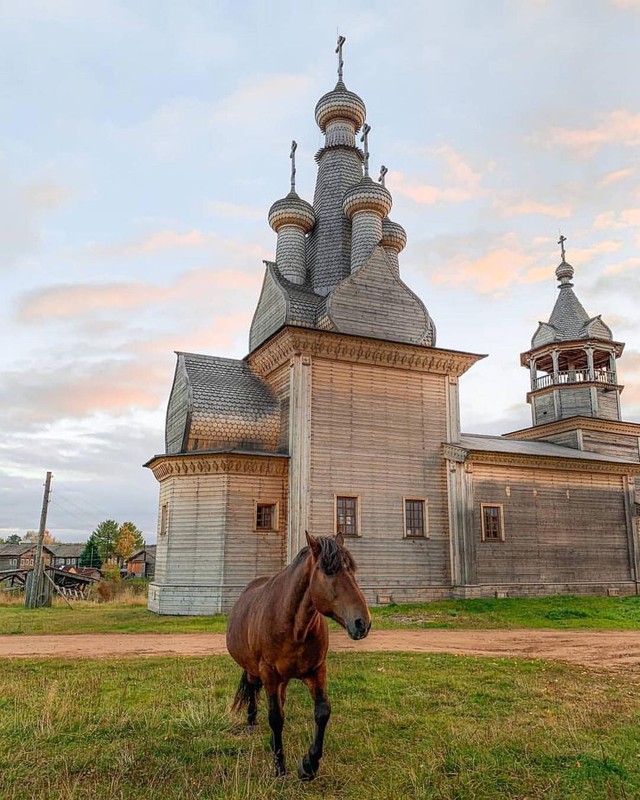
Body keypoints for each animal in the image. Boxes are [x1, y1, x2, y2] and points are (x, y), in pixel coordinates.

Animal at [228, 532, 372, 780]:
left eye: (352, 570)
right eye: (329, 572)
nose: (363, 622)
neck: (294, 626)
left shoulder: (316, 670)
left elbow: (322, 712)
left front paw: (308, 764)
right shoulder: (269, 673)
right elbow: (276, 718)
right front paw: (279, 767)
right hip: (255, 671)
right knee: (254, 690)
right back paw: (251, 722)